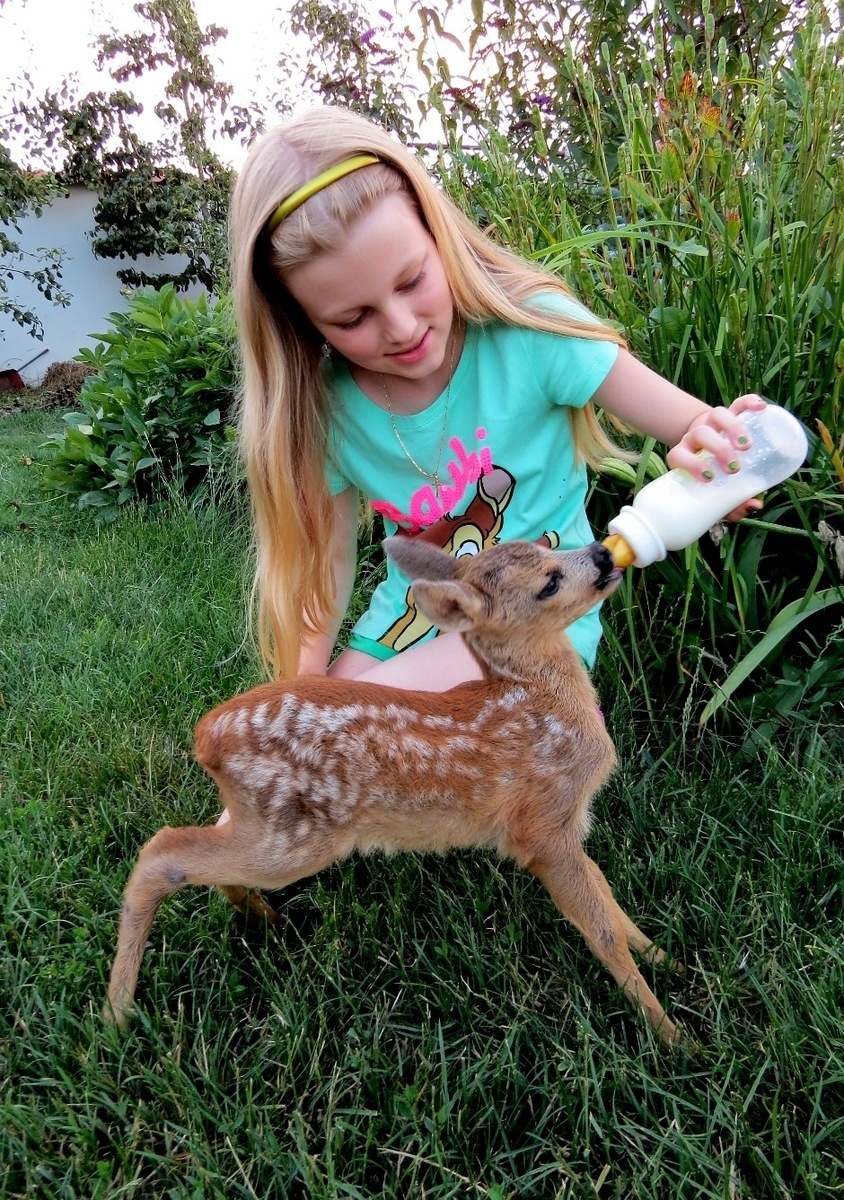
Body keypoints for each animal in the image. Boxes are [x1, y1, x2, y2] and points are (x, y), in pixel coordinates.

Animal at [105, 540, 686, 1046]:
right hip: (293, 840)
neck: (540, 700)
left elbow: (606, 896)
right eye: (549, 582)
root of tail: (205, 739)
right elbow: (599, 927)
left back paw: (263, 919)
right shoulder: (541, 826)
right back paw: (117, 1012)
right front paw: (671, 1035)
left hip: (265, 823)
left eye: (548, 547)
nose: (604, 552)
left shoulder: (566, 827)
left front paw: (664, 957)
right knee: (162, 852)